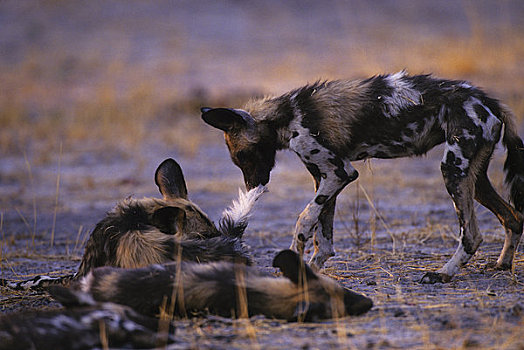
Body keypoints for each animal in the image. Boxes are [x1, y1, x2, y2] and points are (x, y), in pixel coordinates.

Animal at [202, 70, 524, 282]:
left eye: (244, 157)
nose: (254, 186)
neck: (287, 116)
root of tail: (488, 100)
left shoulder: (340, 173)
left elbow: (304, 222)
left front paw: (295, 261)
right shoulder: (325, 179)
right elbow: (324, 238)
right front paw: (310, 272)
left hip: (453, 171)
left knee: (472, 234)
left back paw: (442, 274)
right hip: (473, 178)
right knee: (513, 218)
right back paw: (501, 265)